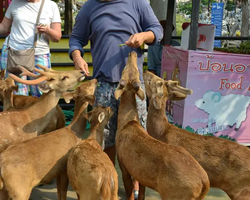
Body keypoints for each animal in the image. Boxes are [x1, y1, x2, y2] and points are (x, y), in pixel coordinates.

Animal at [114, 51, 210, 200]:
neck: (126, 122)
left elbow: (129, 193)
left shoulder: (124, 165)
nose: (132, 52)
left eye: (124, 70)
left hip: (173, 194)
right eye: (132, 70)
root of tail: (205, 184)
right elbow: (141, 195)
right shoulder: (141, 175)